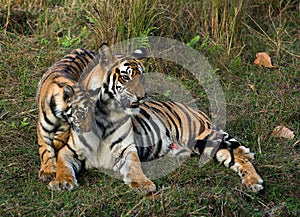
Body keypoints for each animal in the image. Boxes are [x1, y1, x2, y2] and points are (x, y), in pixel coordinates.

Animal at [36, 48, 97, 181]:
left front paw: (56, 143)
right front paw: (47, 171)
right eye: (82, 113)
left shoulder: (66, 124)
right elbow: (45, 149)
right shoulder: (43, 128)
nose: (88, 130)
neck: (60, 114)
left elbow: (61, 136)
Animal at [48, 43, 262, 192]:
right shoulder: (69, 150)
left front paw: (143, 184)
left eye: (142, 76)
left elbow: (134, 167)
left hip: (201, 137)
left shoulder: (127, 149)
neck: (103, 118)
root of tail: (196, 110)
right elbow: (62, 165)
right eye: (126, 76)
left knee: (238, 156)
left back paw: (254, 182)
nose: (143, 96)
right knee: (232, 155)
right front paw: (61, 182)